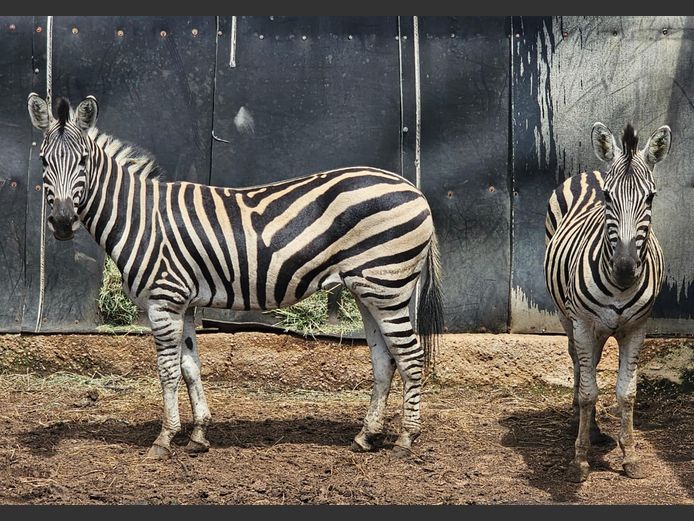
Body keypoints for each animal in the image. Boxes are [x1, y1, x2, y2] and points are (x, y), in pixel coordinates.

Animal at [27, 93, 444, 459]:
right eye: (45, 160)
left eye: (83, 161)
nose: (61, 223)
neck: (140, 216)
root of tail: (413, 188)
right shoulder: (185, 303)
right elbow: (190, 368)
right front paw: (198, 435)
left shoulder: (164, 300)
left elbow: (167, 372)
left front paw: (164, 439)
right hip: (368, 289)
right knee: (385, 360)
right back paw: (366, 436)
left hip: (387, 287)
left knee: (411, 356)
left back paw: (406, 440)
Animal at [544, 122, 671, 482]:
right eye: (608, 197)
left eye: (650, 197)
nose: (625, 268)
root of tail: (591, 172)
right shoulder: (584, 325)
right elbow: (589, 391)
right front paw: (579, 460)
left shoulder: (637, 328)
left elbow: (627, 393)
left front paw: (630, 455)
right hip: (566, 316)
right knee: (578, 360)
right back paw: (580, 420)